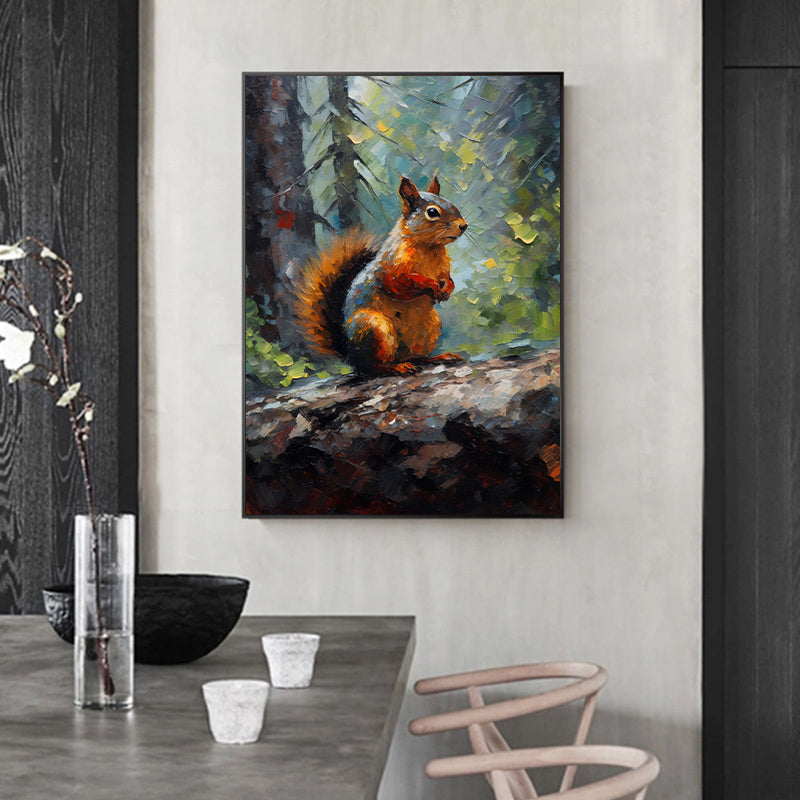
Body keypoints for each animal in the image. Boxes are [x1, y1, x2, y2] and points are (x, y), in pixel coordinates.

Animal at [293, 175, 468, 376]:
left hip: (429, 329)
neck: (429, 248)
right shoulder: (390, 271)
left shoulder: (443, 269)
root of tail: (350, 356)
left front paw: (447, 288)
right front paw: (430, 285)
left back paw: (438, 357)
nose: (464, 225)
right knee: (373, 368)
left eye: (453, 204)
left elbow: (447, 279)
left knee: (417, 358)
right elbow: (401, 284)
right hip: (374, 329)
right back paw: (396, 367)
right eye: (432, 212)